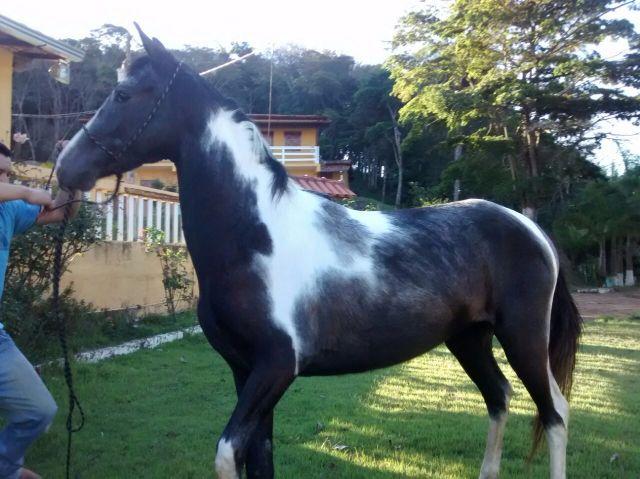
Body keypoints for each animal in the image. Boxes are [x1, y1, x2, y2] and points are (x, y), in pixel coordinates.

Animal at [56, 26, 582, 479]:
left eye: (124, 95)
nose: (65, 167)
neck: (257, 237)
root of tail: (531, 229)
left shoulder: (275, 368)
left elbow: (227, 454)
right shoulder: (244, 371)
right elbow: (259, 460)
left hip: (522, 337)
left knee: (554, 412)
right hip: (469, 338)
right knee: (499, 397)